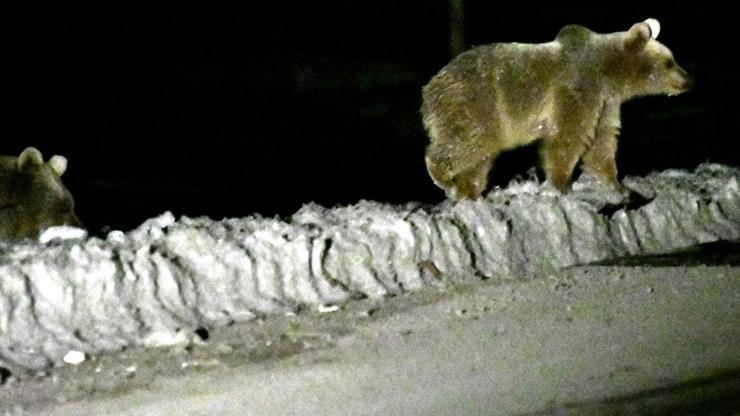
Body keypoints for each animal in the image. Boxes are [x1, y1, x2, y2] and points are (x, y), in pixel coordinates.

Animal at [422, 19, 692, 200]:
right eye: (669, 62)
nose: (689, 80)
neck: (607, 74)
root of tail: (429, 89)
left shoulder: (605, 102)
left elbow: (601, 140)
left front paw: (618, 185)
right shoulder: (577, 88)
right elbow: (569, 135)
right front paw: (562, 183)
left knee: (480, 156)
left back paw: (468, 191)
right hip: (475, 104)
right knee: (468, 140)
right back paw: (443, 176)